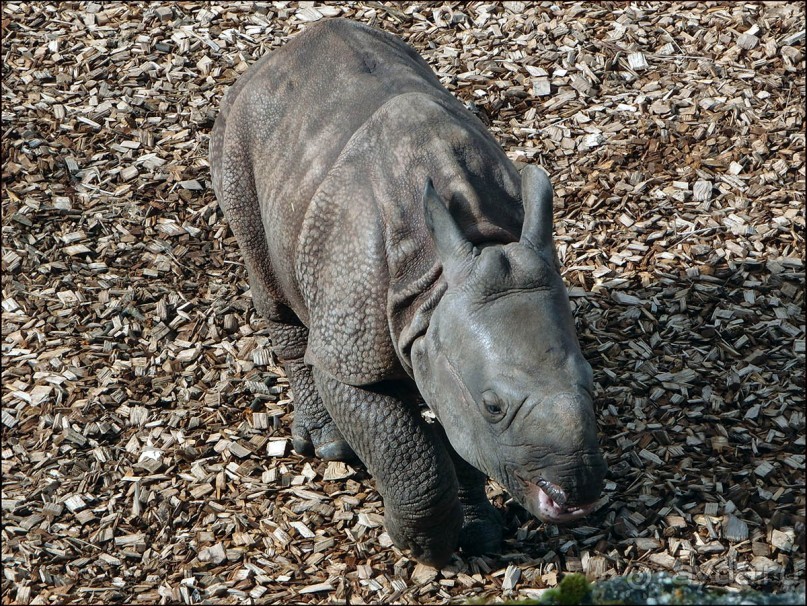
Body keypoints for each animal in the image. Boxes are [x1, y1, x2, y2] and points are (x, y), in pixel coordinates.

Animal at [208, 20, 608, 568]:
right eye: (494, 406)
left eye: (590, 380)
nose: (577, 496)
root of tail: (271, 60)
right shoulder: (351, 350)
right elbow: (405, 448)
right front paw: (425, 548)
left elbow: (460, 436)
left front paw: (480, 534)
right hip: (240, 139)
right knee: (267, 272)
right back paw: (327, 445)